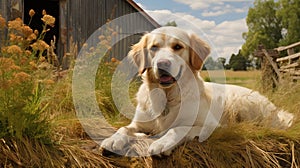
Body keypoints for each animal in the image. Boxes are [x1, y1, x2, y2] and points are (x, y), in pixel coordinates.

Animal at [100, 26, 292, 156]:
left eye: (178, 47)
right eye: (154, 47)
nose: (162, 64)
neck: (168, 96)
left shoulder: (213, 125)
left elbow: (178, 129)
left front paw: (162, 143)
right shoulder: (139, 122)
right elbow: (124, 128)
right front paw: (113, 139)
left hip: (243, 103)